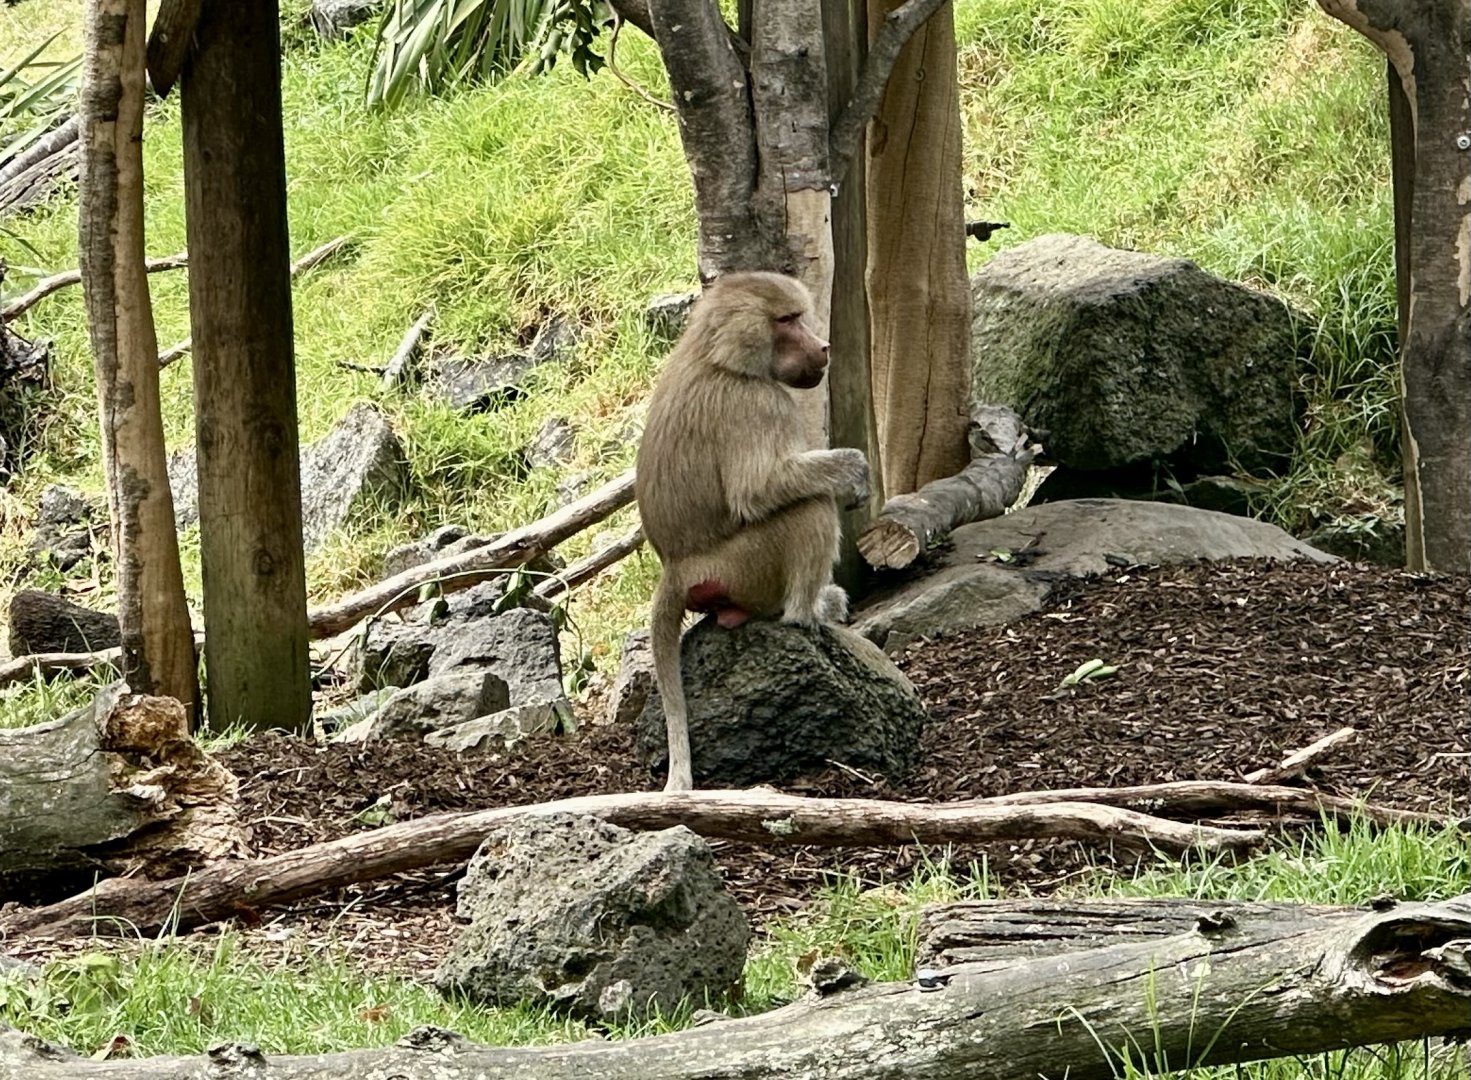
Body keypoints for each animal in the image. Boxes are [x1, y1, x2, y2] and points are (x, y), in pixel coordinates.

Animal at [635, 271, 870, 792]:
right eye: (787, 320)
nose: (822, 347)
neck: (714, 355)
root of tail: (676, 567)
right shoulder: (759, 402)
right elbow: (757, 489)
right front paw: (854, 470)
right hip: (741, 566)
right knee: (810, 507)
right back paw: (806, 614)